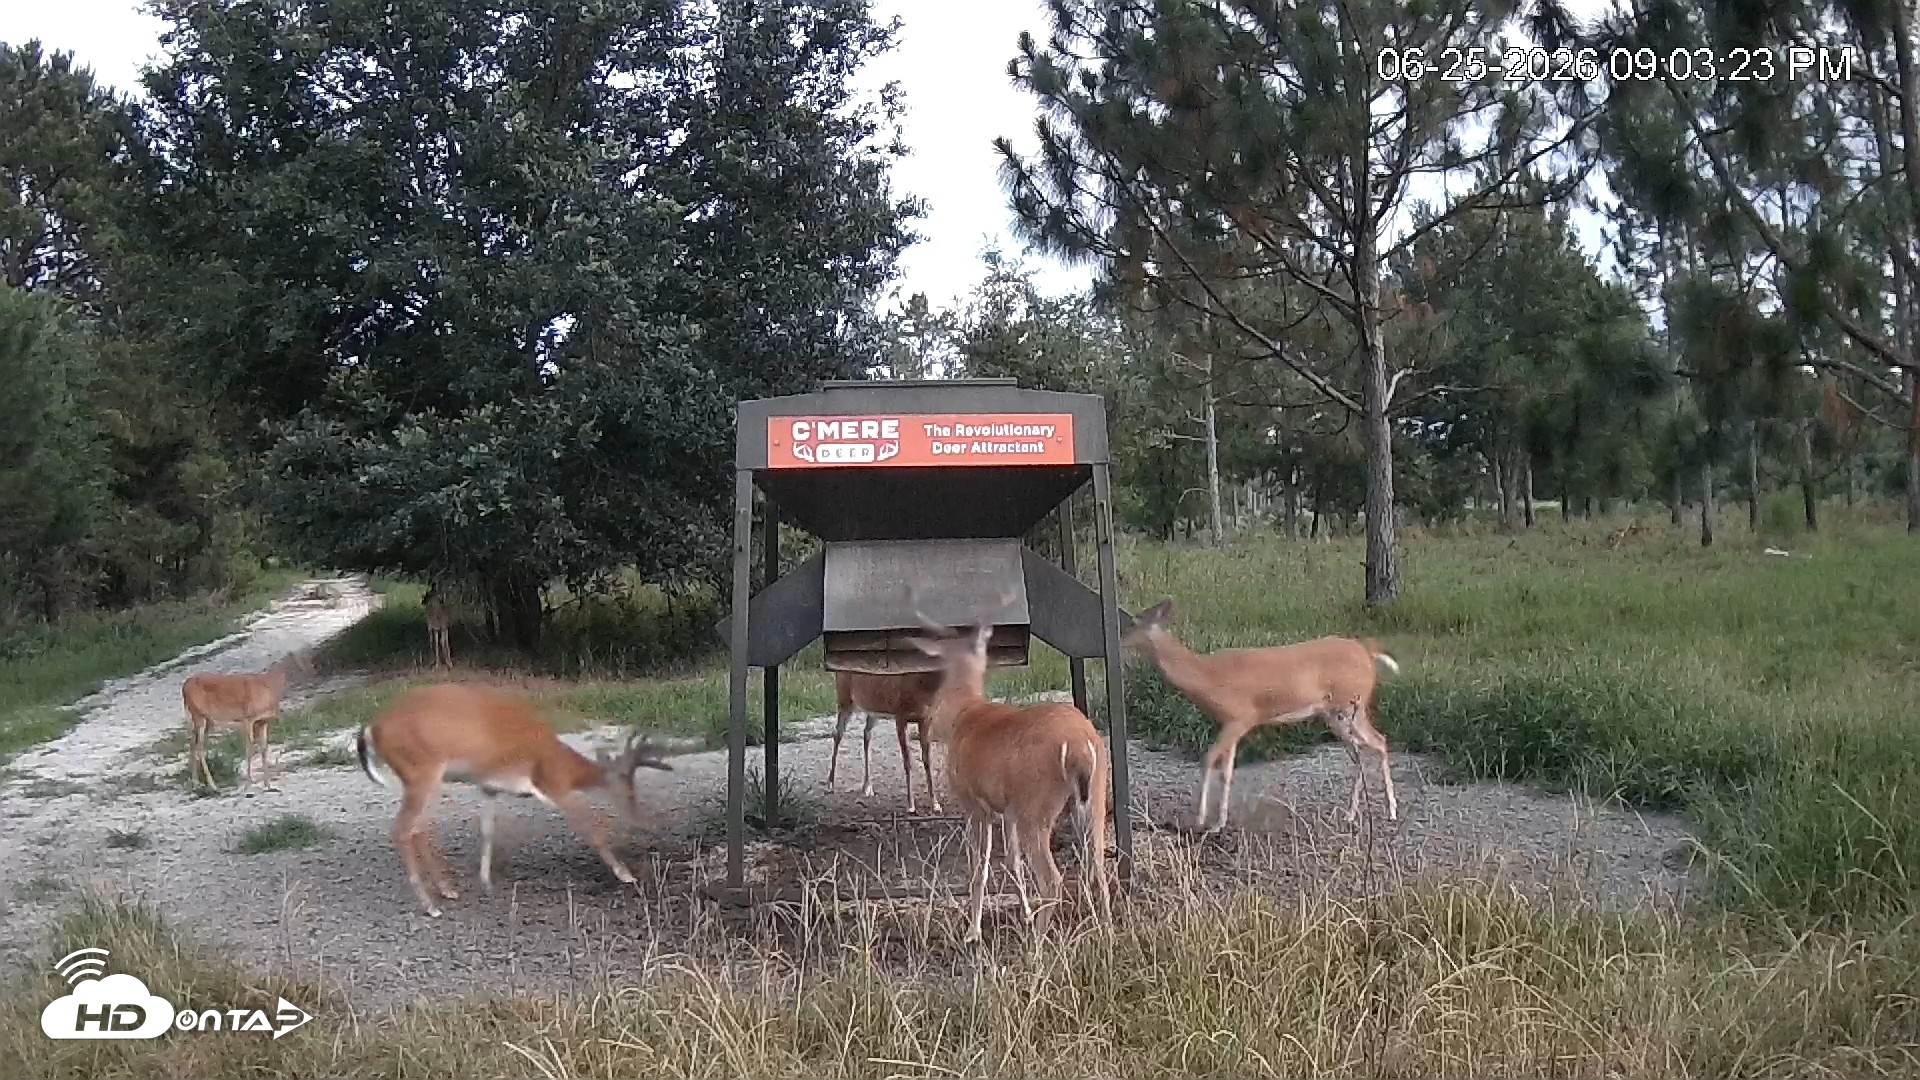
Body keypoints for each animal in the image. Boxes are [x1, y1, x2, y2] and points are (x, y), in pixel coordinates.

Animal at [182, 650, 314, 790]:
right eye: (302, 657)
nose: (312, 666)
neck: (269, 688)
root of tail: (184, 688)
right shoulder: (248, 718)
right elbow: (249, 748)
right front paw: (249, 782)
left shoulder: (263, 721)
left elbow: (263, 749)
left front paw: (267, 784)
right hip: (198, 715)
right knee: (199, 746)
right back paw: (212, 785)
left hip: (206, 720)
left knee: (193, 744)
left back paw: (196, 783)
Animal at [353, 682, 673, 917]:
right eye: (628, 788)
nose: (640, 819)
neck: (557, 759)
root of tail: (371, 729)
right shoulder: (553, 785)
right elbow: (591, 827)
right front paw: (625, 874)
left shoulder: (490, 788)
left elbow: (487, 831)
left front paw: (485, 881)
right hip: (422, 771)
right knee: (403, 829)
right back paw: (431, 906)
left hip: (422, 779)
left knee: (419, 827)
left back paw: (448, 889)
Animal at [828, 670, 945, 813]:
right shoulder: (900, 715)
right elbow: (907, 762)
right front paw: (911, 805)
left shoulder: (927, 718)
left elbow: (927, 761)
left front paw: (935, 804)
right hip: (845, 698)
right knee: (838, 733)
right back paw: (831, 784)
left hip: (872, 707)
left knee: (866, 733)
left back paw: (867, 787)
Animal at [902, 591, 1112, 944]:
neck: (964, 713)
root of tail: (1081, 744)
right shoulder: (1008, 808)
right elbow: (1013, 861)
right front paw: (1024, 913)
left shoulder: (974, 803)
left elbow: (980, 867)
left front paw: (972, 931)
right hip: (1094, 797)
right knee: (1098, 866)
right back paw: (1106, 932)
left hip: (1037, 806)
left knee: (1052, 879)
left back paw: (1038, 946)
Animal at [1121, 600, 1401, 833]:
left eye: (1135, 620)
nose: (1119, 637)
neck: (1207, 677)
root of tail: (1367, 653)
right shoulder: (1229, 723)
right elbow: (1227, 771)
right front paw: (1219, 823)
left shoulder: (1241, 717)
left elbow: (1208, 759)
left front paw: (1200, 819)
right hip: (1334, 713)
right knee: (1361, 749)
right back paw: (1351, 814)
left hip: (1352, 705)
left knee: (1378, 741)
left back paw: (1391, 811)